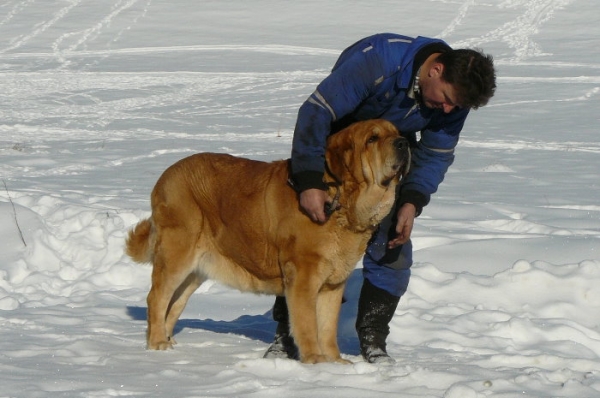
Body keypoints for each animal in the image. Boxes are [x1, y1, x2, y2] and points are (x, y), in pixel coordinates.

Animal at [124, 118, 410, 364]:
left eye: (397, 132)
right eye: (372, 138)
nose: (403, 142)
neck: (342, 198)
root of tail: (164, 178)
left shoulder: (333, 284)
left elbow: (327, 327)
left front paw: (335, 362)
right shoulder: (303, 277)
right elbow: (307, 323)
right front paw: (315, 360)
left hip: (195, 270)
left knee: (175, 303)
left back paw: (167, 342)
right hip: (177, 254)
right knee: (157, 297)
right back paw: (158, 343)